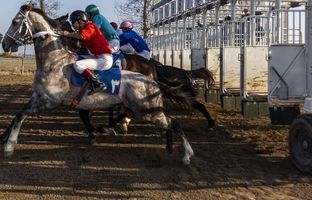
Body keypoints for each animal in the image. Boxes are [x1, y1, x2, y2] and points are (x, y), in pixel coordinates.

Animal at [1, 4, 194, 165]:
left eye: (15, 21)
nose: (5, 44)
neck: (54, 60)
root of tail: (152, 80)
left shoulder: (50, 101)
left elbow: (24, 115)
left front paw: (8, 145)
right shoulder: (38, 96)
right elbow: (18, 115)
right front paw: (7, 142)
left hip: (146, 111)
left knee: (174, 123)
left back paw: (187, 155)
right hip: (142, 110)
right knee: (168, 122)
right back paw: (168, 148)